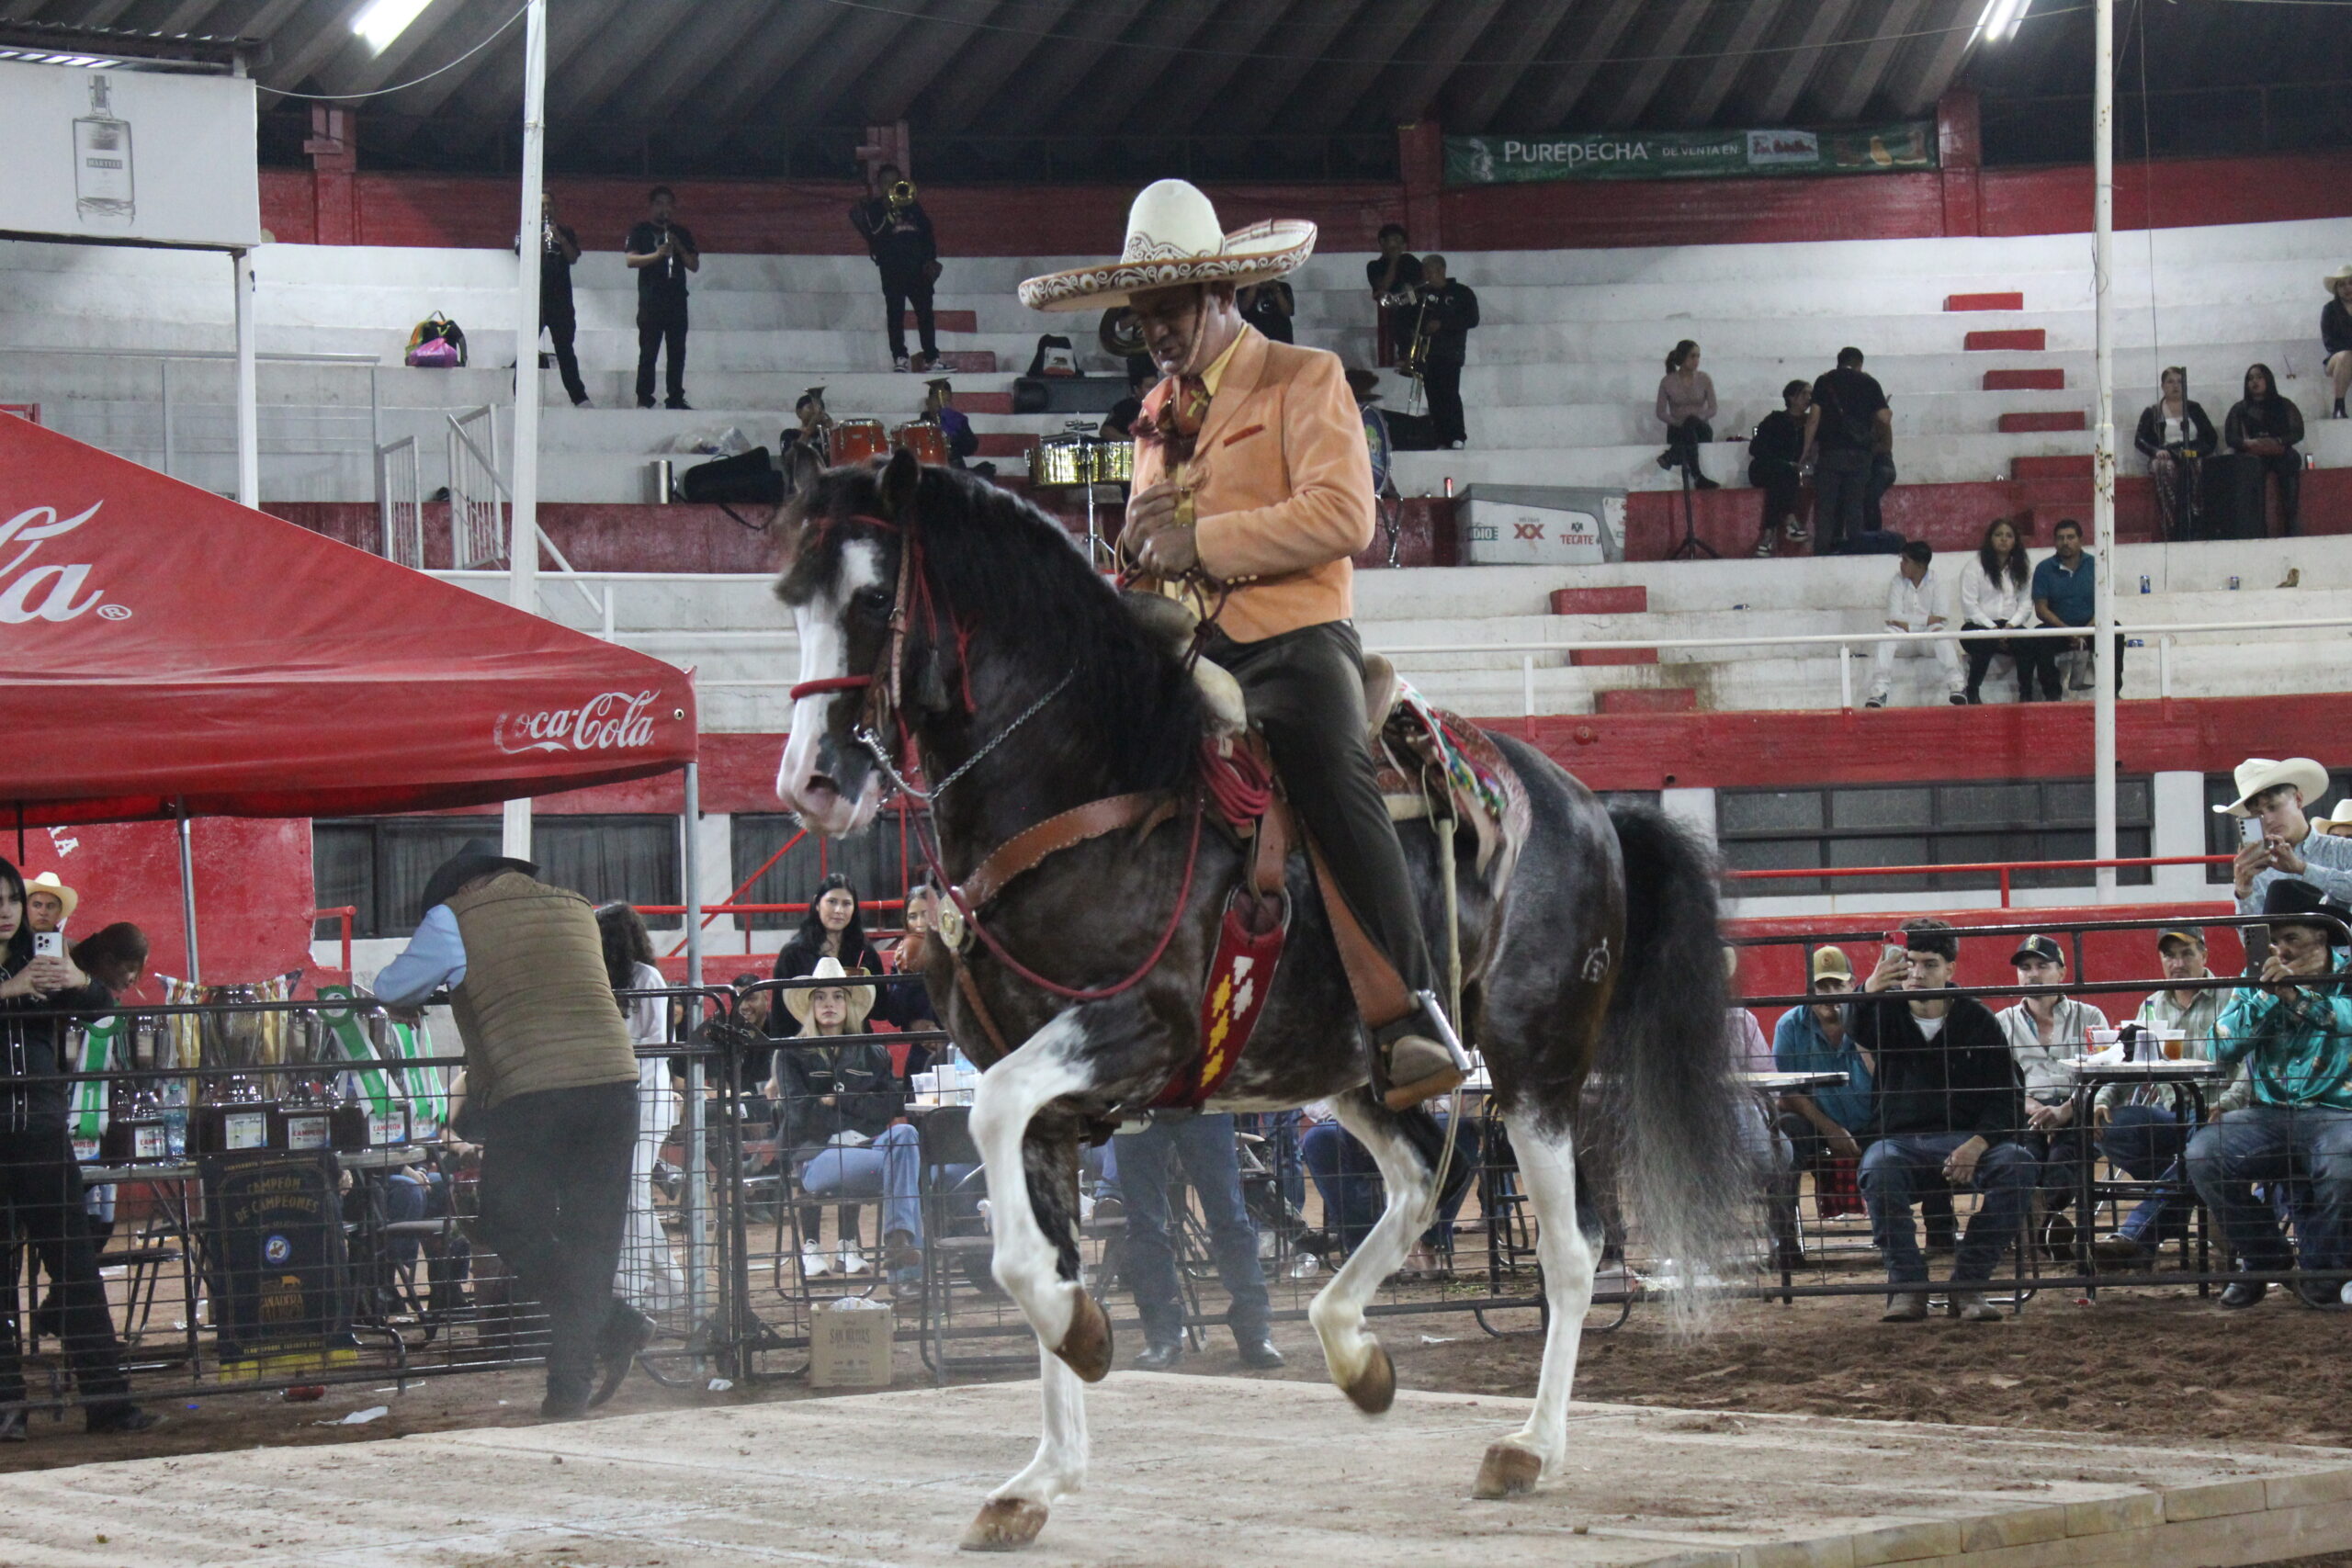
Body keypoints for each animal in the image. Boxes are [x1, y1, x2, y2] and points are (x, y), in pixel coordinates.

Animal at [771, 445, 1751, 1551]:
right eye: (793, 599)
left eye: (874, 596)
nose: (810, 782)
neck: (1097, 788)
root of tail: (1592, 807)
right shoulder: (1052, 1101)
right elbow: (1044, 1249)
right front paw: (1040, 1475)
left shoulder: (1133, 1032)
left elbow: (1002, 1166)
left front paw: (1082, 1336)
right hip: (1358, 1066)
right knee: (1423, 1176)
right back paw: (1352, 1350)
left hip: (1536, 1067)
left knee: (1570, 1252)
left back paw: (1529, 1448)